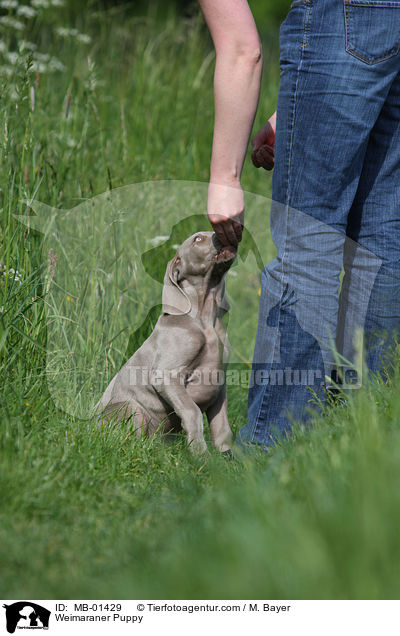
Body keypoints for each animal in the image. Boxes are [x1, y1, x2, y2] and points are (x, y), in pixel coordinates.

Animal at [95, 231, 236, 454]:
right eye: (197, 239)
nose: (226, 232)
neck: (205, 320)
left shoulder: (219, 383)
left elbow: (223, 428)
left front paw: (227, 457)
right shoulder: (166, 375)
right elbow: (192, 411)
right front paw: (200, 453)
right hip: (132, 407)